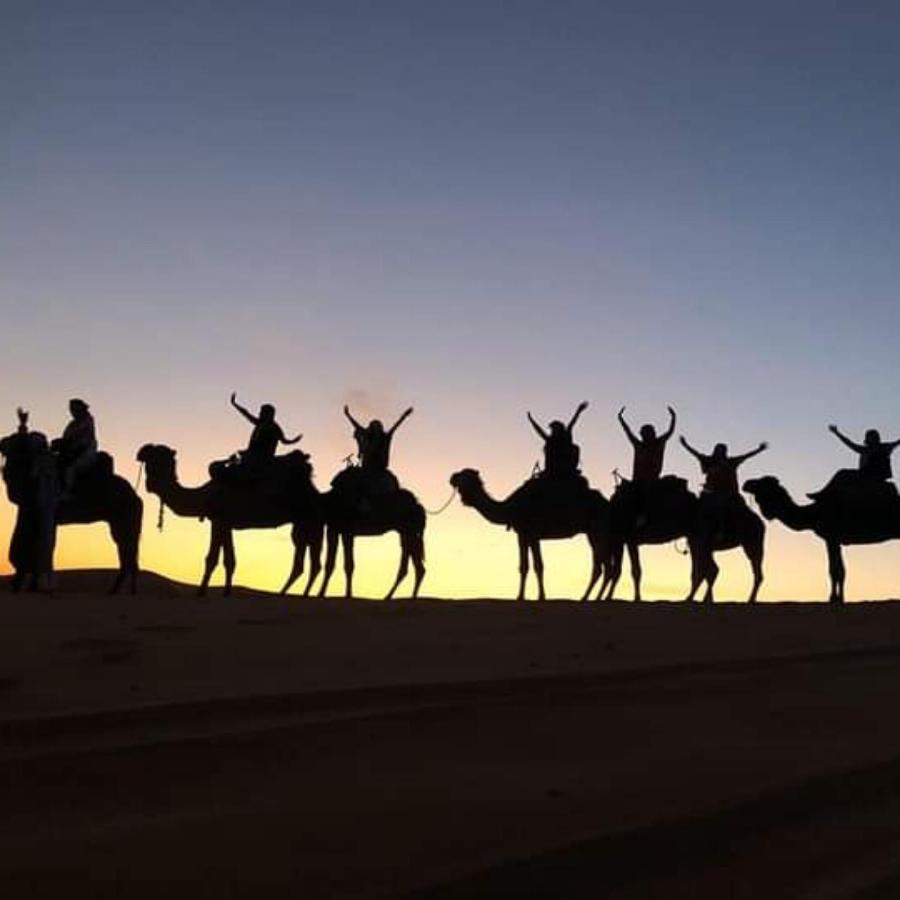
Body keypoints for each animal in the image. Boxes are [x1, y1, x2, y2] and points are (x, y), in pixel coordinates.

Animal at [0, 428, 142, 592]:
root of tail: (135, 496)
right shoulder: (33, 511)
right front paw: (29, 586)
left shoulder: (38, 509)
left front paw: (26, 585)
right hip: (121, 523)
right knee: (127, 553)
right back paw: (119, 590)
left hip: (125, 520)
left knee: (129, 553)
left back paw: (124, 590)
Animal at [137, 444, 324, 596]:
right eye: (150, 457)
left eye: (159, 457)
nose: (150, 484)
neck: (204, 496)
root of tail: (314, 492)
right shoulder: (226, 524)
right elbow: (230, 560)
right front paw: (226, 592)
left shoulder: (218, 520)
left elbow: (212, 558)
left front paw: (201, 592)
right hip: (304, 524)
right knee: (306, 563)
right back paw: (291, 593)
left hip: (309, 521)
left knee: (309, 563)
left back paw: (293, 594)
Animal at [450, 468, 612, 600]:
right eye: (460, 477)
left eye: (466, 477)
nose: (452, 477)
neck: (510, 508)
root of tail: (607, 503)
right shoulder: (528, 535)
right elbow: (530, 565)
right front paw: (532, 596)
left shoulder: (527, 533)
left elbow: (533, 566)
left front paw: (528, 597)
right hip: (593, 533)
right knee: (602, 567)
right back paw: (592, 598)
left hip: (598, 530)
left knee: (602, 566)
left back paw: (591, 598)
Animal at [740, 478, 900, 604]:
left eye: (762, 483)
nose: (746, 483)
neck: (814, 514)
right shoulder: (834, 540)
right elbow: (839, 570)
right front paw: (839, 598)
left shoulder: (831, 538)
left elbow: (834, 570)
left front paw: (833, 599)